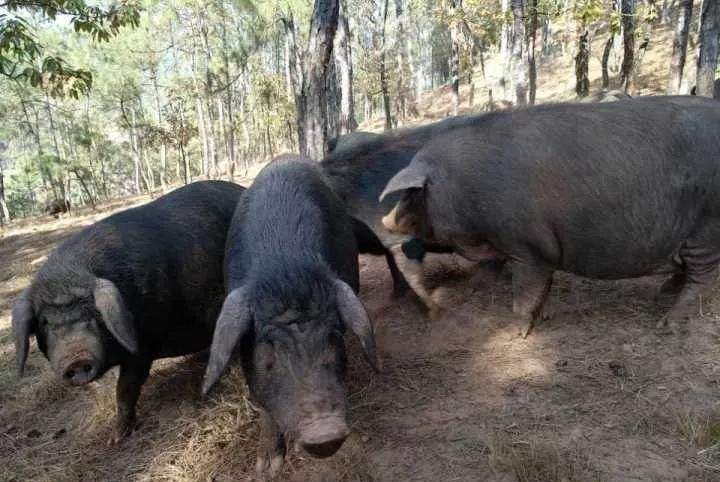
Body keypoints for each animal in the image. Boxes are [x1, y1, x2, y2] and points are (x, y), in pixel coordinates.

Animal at [11, 180, 245, 440]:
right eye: (45, 323)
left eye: (92, 313)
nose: (76, 357)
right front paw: (115, 439)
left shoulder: (143, 342)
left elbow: (125, 387)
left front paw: (116, 438)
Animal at [382, 96, 720, 338]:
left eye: (413, 193)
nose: (385, 222)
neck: (464, 188)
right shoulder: (543, 253)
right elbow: (543, 287)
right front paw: (544, 318)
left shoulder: (527, 246)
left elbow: (525, 293)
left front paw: (516, 334)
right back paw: (662, 295)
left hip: (706, 231)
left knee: (701, 279)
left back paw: (667, 323)